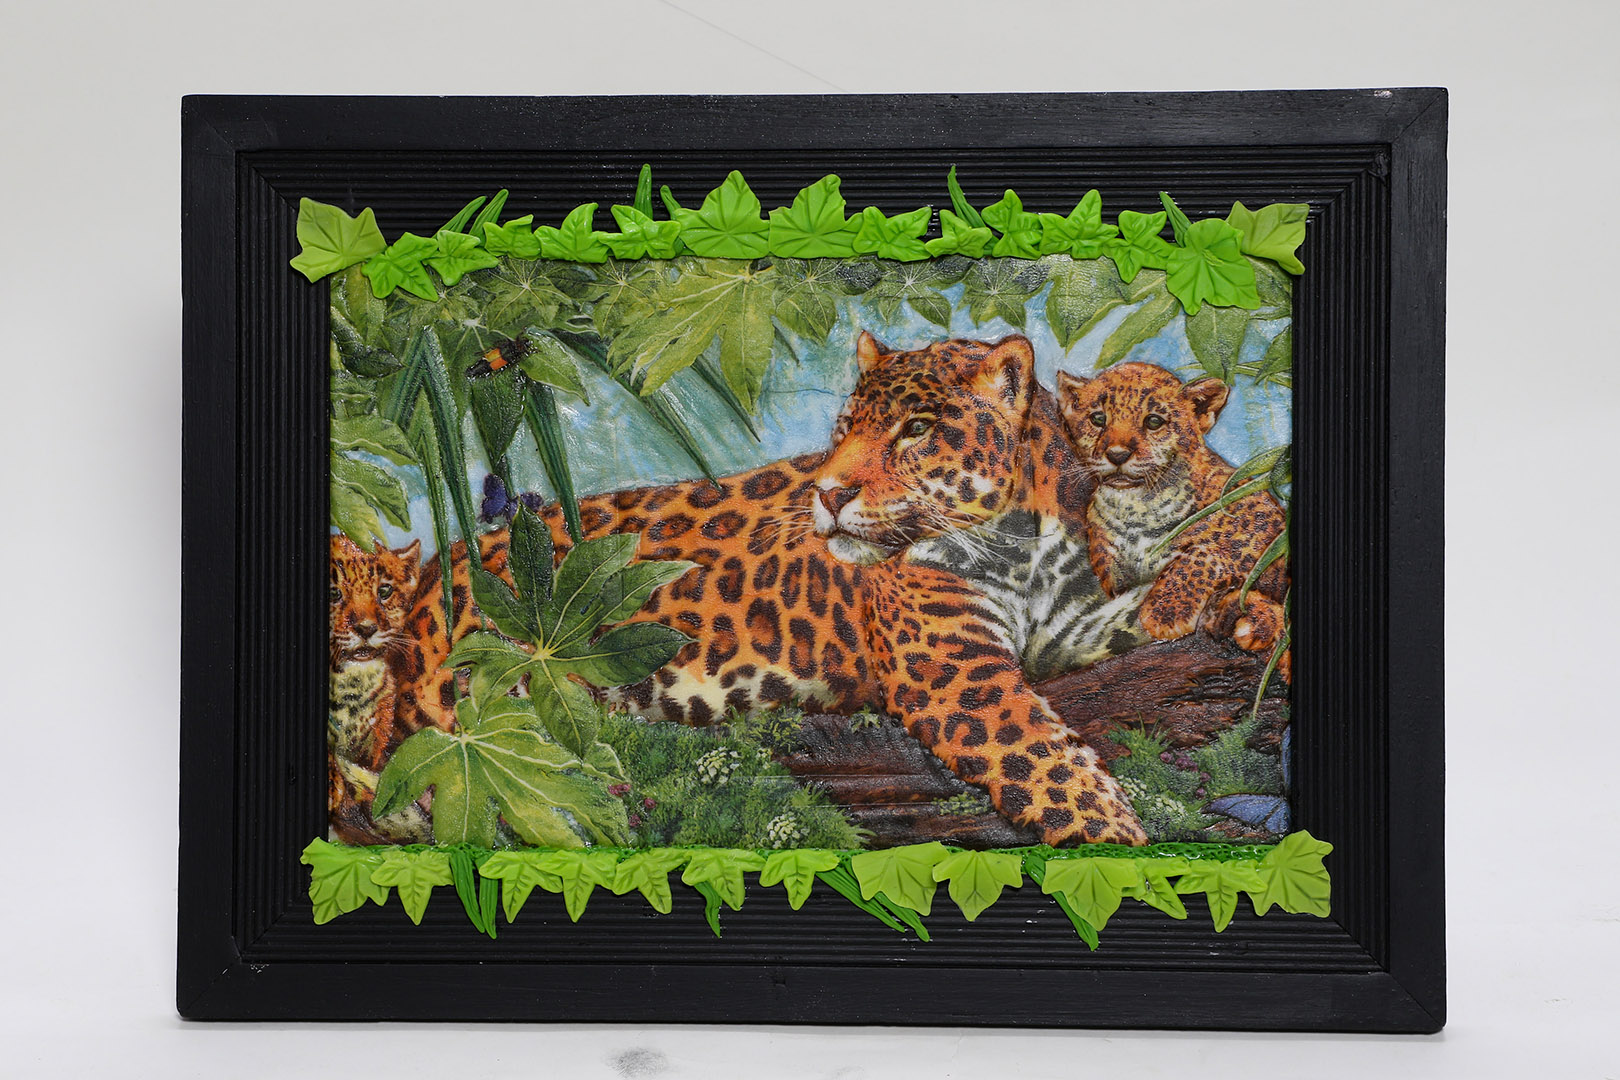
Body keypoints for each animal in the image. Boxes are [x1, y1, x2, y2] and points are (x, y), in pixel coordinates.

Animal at [399, 333, 1155, 845]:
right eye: (845, 431)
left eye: (916, 429)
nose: (829, 491)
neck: (1022, 541)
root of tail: (434, 572)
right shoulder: (954, 671)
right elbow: (1042, 756)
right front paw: (1119, 836)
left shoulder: (1074, 625)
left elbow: (1140, 618)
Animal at [1055, 361, 1290, 677]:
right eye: (1098, 419)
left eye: (1154, 422)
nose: (1117, 454)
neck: (1135, 508)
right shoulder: (1114, 575)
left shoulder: (1260, 529)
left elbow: (1203, 554)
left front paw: (1164, 614)